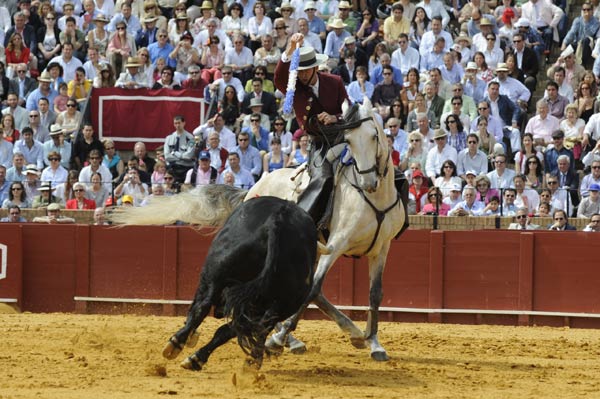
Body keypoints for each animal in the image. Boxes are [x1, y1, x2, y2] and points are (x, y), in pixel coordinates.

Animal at [159, 197, 318, 372]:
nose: (219, 313)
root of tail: (278, 220)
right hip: (284, 302)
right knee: (249, 327)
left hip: (215, 273)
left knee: (202, 306)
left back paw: (176, 344)